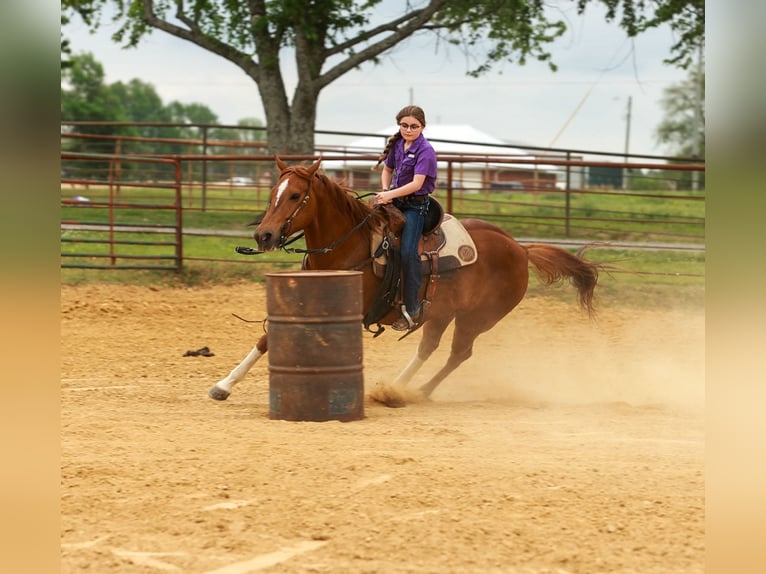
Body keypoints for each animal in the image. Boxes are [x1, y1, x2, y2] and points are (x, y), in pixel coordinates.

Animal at [208, 157, 599, 401]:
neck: (347, 246)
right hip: (441, 312)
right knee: (429, 347)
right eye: (273, 194)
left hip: (477, 317)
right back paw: (397, 387)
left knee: (459, 353)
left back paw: (414, 393)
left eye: (294, 195)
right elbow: (266, 338)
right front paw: (224, 385)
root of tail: (520, 248)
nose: (264, 235)